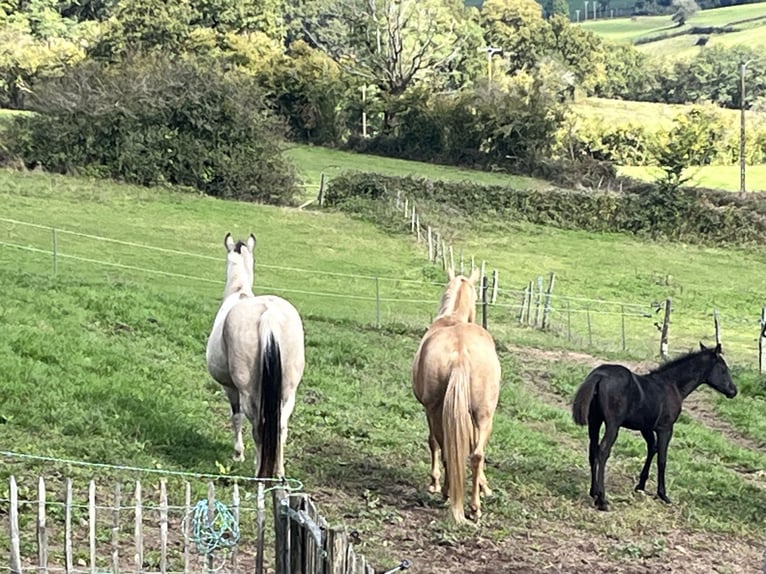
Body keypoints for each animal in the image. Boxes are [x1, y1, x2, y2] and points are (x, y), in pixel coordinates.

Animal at [208, 232, 308, 480]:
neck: (239, 292)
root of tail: (269, 315)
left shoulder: (230, 388)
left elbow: (236, 417)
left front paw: (238, 454)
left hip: (247, 391)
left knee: (257, 426)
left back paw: (259, 472)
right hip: (288, 391)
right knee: (280, 426)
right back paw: (278, 473)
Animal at [414, 268, 504, 524]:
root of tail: (461, 352)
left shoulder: (428, 410)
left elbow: (433, 443)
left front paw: (434, 482)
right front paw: (484, 487)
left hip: (437, 412)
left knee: (445, 447)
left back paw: (446, 492)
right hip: (484, 415)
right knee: (476, 455)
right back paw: (474, 507)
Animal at [568, 344, 736, 510]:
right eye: (723, 369)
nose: (733, 391)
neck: (672, 385)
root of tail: (599, 375)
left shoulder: (646, 427)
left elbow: (652, 449)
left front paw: (640, 486)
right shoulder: (665, 428)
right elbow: (662, 459)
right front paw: (663, 495)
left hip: (594, 422)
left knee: (593, 451)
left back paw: (593, 492)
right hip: (612, 425)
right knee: (603, 451)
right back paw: (602, 500)